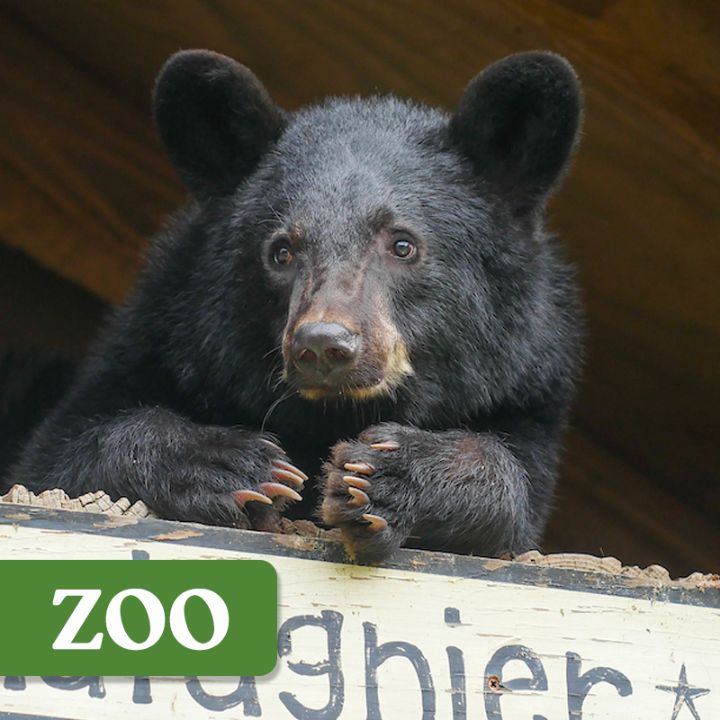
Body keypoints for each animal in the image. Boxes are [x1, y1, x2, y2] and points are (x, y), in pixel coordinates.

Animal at [9, 49, 583, 564]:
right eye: (281, 251)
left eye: (403, 244)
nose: (323, 345)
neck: (327, 415)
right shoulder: (161, 340)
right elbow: (59, 460)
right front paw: (234, 465)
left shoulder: (523, 387)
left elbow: (509, 484)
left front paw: (385, 474)